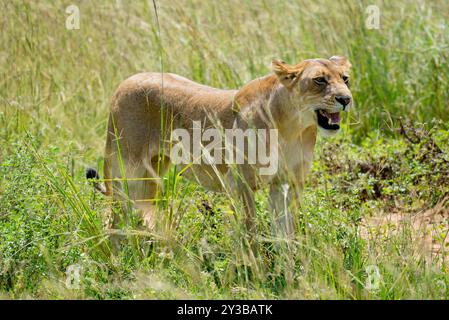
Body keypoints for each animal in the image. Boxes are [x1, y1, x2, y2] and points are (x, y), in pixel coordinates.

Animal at [86, 56, 350, 239]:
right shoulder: (240, 182)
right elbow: (249, 227)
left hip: (151, 174)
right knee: (113, 216)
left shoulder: (287, 183)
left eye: (345, 79)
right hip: (124, 172)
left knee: (140, 210)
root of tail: (124, 83)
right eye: (320, 80)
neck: (292, 127)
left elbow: (285, 229)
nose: (346, 99)